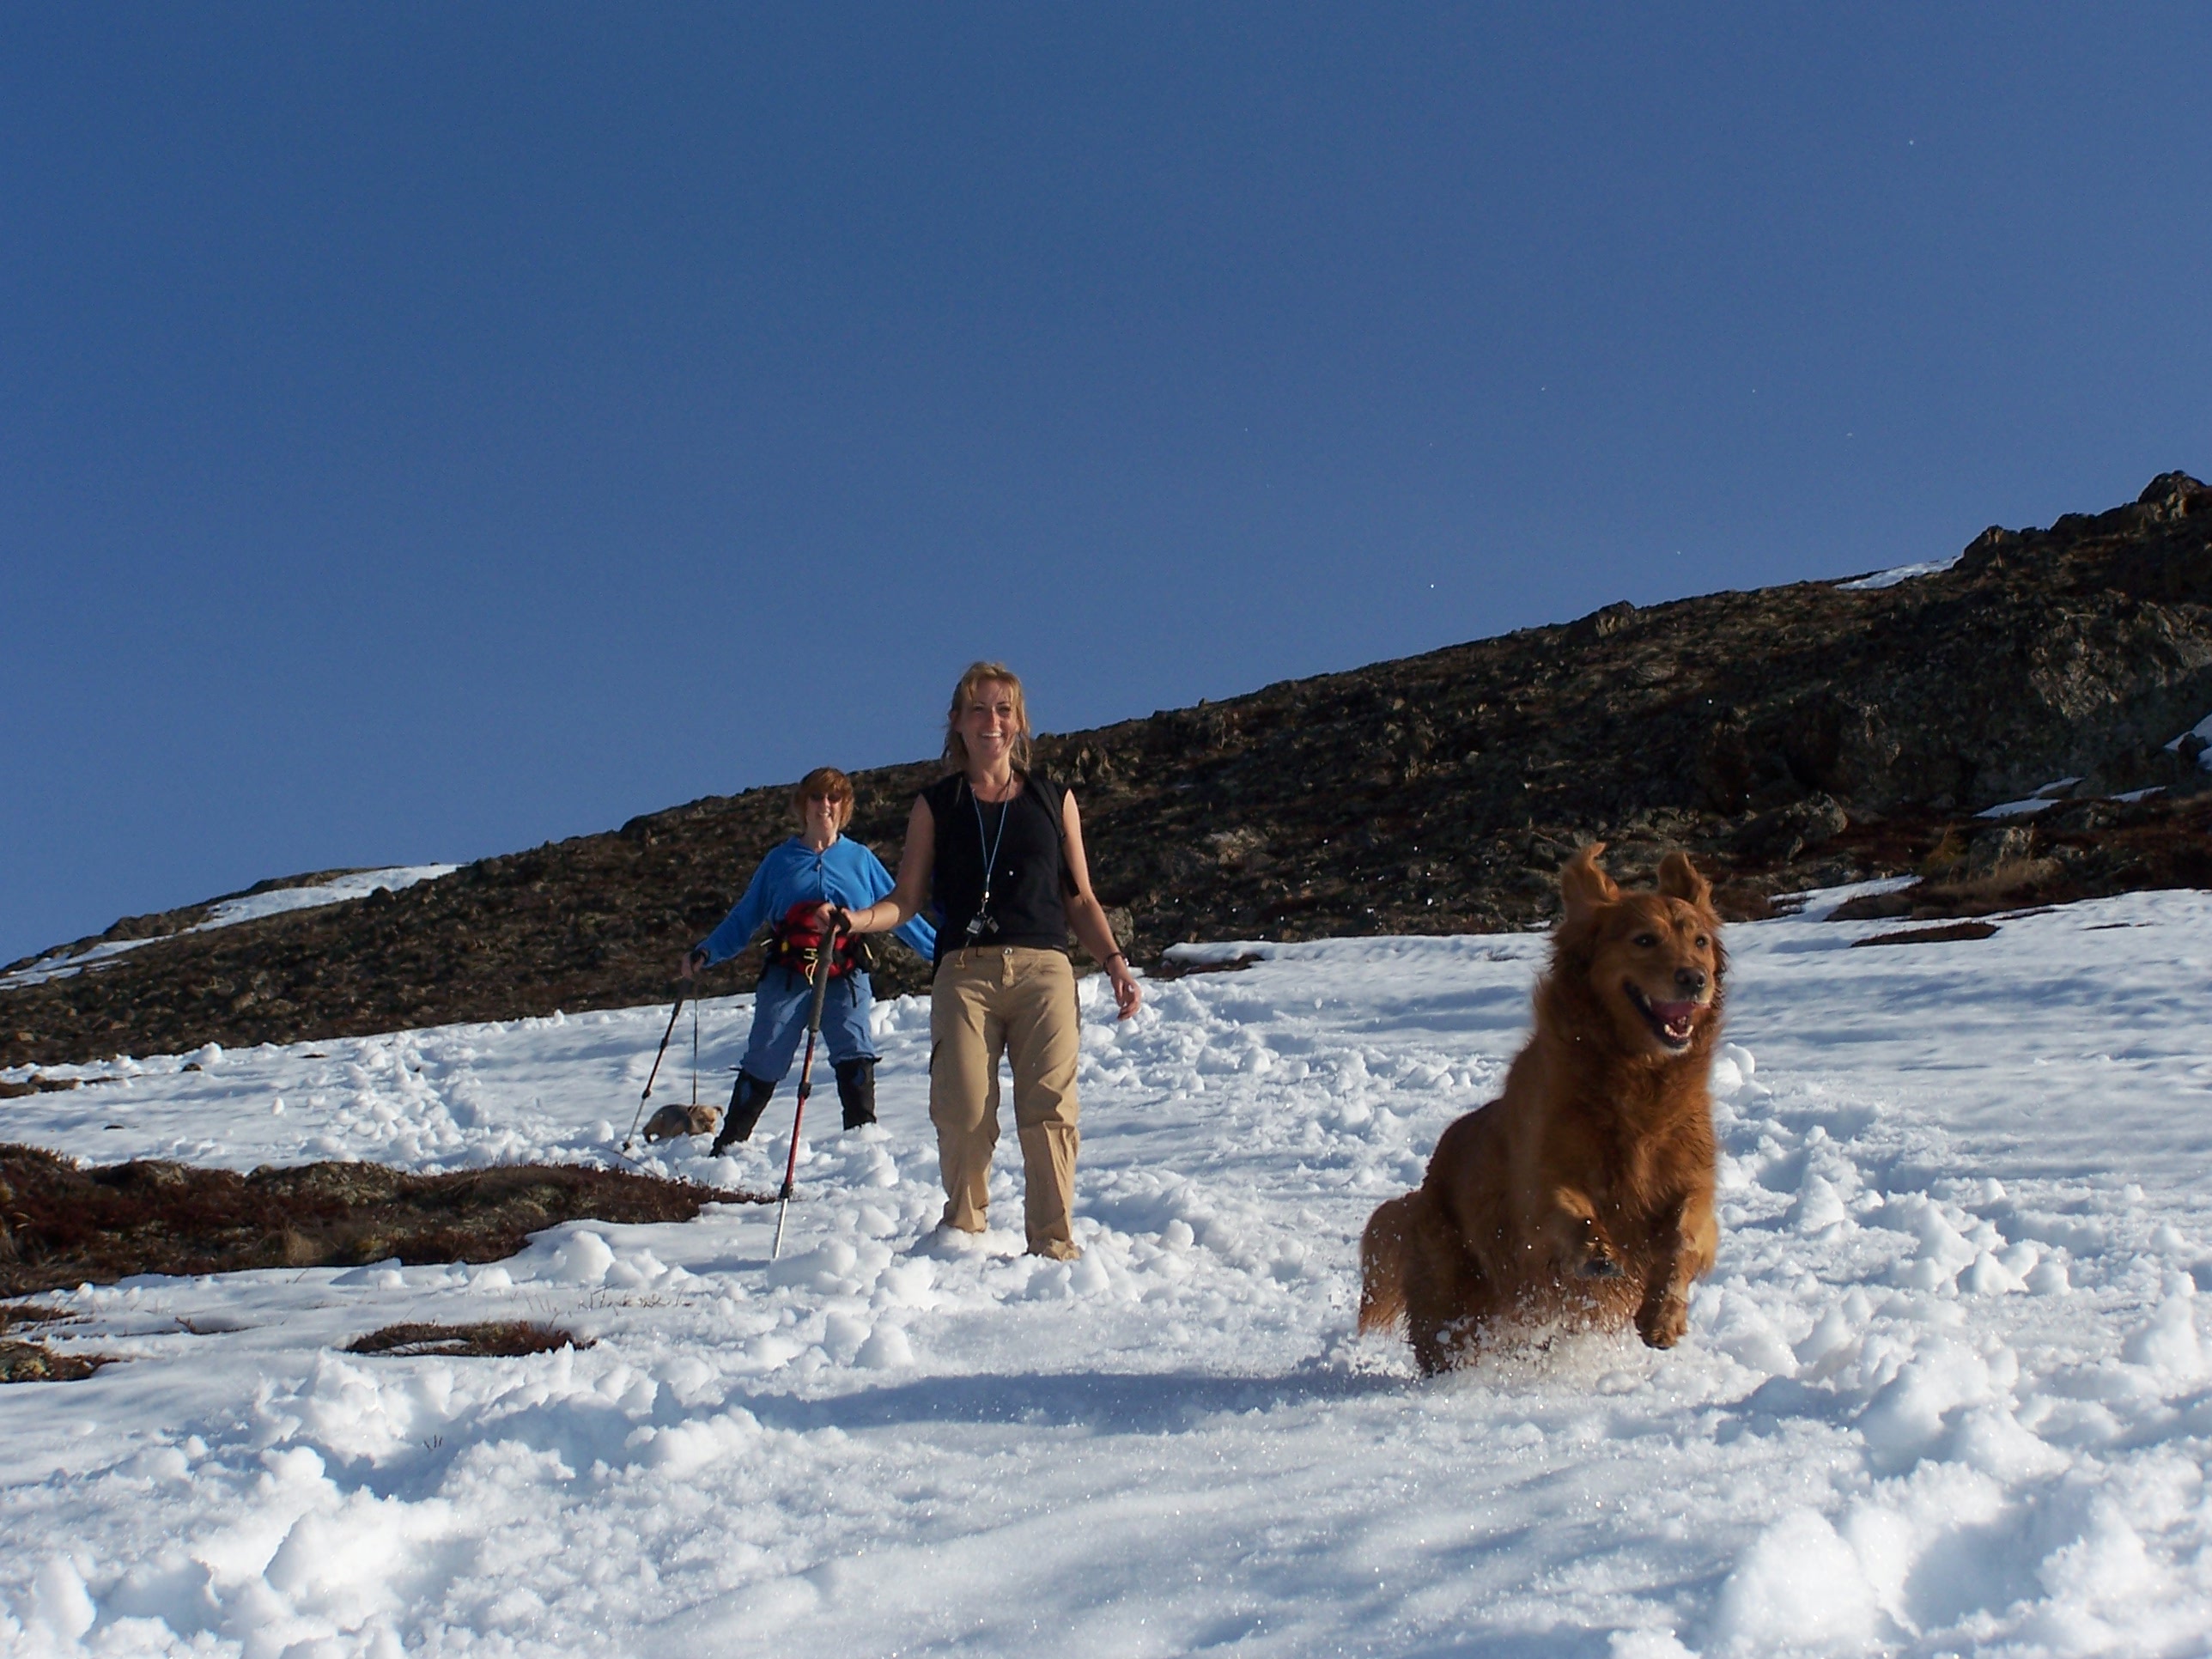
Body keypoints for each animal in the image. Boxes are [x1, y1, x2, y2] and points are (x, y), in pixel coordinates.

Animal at [1359, 844, 1725, 1374]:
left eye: (1700, 941)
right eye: (1645, 940)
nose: (1696, 979)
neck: (1635, 1080)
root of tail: (1424, 1186)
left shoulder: (1693, 1181)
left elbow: (1685, 1234)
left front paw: (1663, 1316)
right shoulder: (1539, 1183)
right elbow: (1566, 1207)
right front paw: (1597, 1250)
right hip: (1453, 1299)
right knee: (1445, 1340)